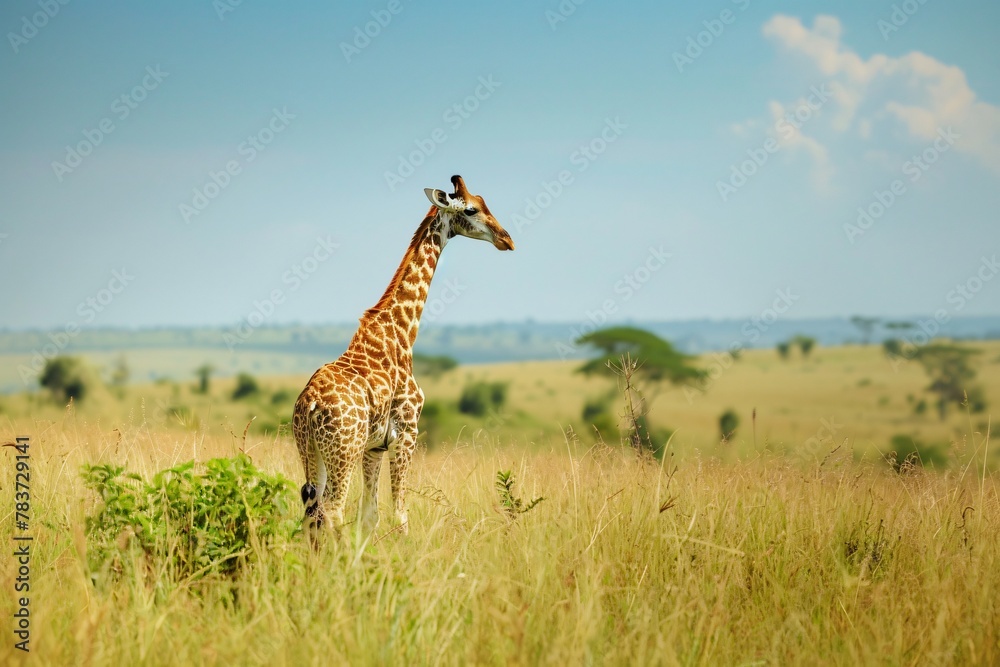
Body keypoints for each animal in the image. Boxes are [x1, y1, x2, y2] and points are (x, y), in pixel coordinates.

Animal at [292, 175, 514, 539]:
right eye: (471, 208)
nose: (506, 239)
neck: (402, 331)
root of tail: (308, 405)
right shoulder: (407, 433)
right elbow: (399, 515)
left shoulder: (374, 446)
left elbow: (370, 516)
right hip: (343, 450)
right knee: (334, 511)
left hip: (309, 450)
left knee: (313, 515)